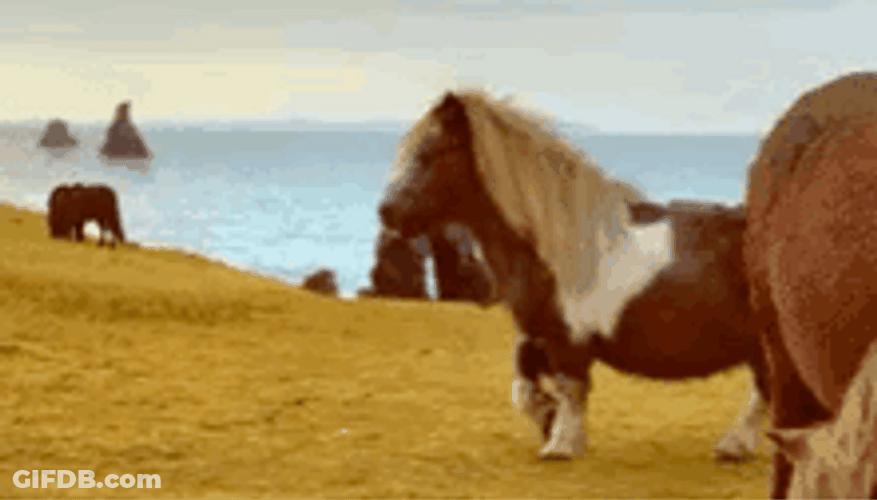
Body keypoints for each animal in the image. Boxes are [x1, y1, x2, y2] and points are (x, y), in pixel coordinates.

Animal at [512, 199, 769, 462]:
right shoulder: (541, 334)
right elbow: (524, 385)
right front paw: (551, 420)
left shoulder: (565, 337)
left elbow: (568, 389)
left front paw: (559, 444)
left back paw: (734, 445)